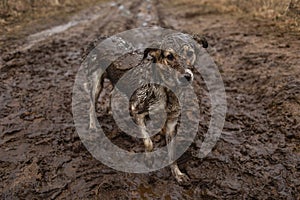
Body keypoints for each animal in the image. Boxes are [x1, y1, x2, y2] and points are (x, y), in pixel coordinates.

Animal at [85, 31, 209, 184]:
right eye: (169, 56)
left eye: (190, 53)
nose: (186, 76)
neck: (167, 90)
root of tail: (100, 37)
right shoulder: (137, 112)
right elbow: (148, 143)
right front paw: (148, 160)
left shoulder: (172, 122)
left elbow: (172, 153)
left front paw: (177, 174)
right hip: (96, 82)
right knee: (91, 104)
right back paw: (93, 126)